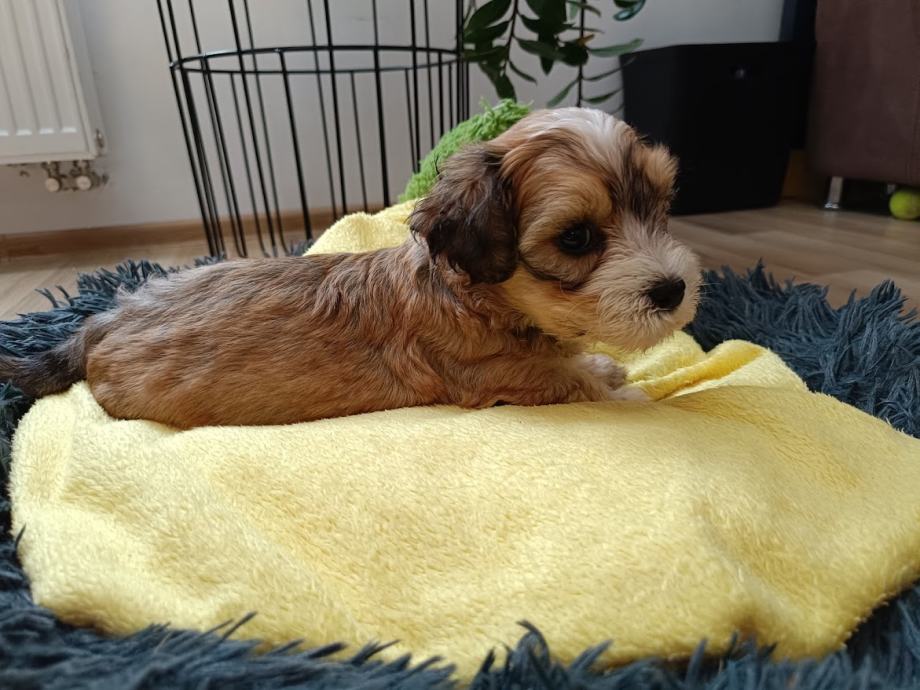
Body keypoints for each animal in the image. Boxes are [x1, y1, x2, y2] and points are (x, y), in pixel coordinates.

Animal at [0, 108, 700, 428]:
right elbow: (563, 378)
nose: (674, 289)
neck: (476, 298)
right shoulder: (496, 374)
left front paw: (603, 364)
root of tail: (101, 320)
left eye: (662, 206)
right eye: (577, 238)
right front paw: (623, 391)